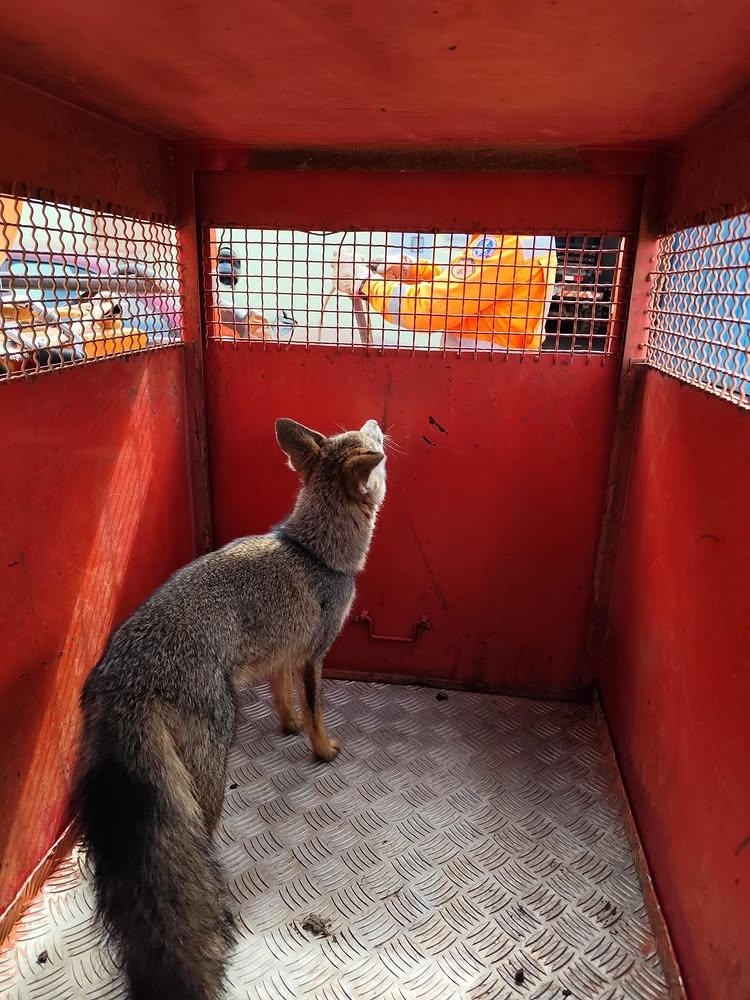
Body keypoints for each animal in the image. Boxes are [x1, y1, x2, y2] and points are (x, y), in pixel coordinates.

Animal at [74, 417, 387, 1000]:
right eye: (371, 442)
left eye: (357, 432)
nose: (380, 423)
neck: (312, 551)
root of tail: (123, 677)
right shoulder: (314, 654)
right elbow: (317, 709)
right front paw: (323, 749)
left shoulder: (281, 654)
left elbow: (285, 698)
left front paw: (288, 726)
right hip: (212, 768)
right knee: (201, 840)